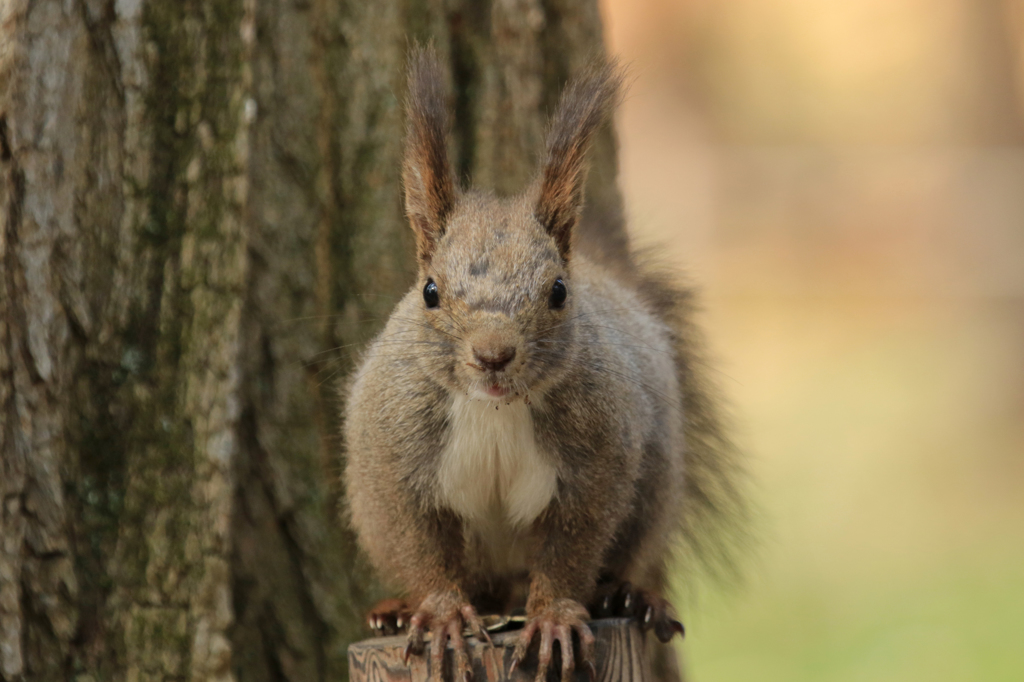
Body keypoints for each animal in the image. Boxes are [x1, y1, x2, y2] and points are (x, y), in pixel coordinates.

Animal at [344, 49, 745, 679]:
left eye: (558, 291)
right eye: (430, 291)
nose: (492, 355)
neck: (495, 411)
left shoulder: (596, 461)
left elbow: (571, 547)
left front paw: (554, 618)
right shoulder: (396, 457)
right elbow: (421, 543)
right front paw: (440, 614)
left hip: (654, 491)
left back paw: (631, 596)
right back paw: (397, 610)